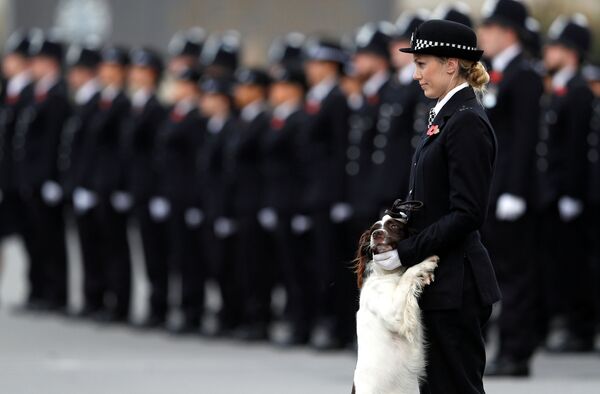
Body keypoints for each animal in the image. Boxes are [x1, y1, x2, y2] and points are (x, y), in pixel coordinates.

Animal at [350, 202, 438, 392]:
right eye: (374, 228)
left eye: (394, 226)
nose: (376, 234)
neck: (389, 274)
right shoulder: (393, 314)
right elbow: (408, 276)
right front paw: (425, 263)